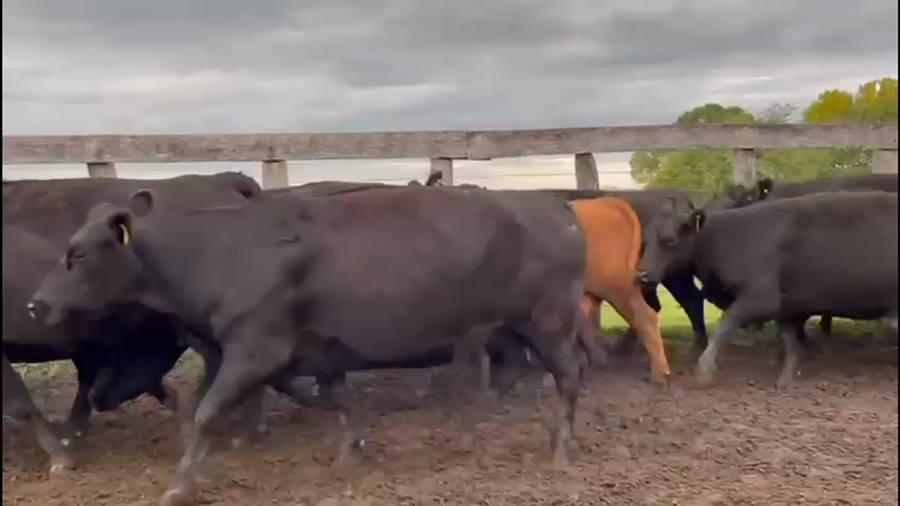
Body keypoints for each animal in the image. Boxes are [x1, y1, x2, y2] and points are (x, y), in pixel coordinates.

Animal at [29, 185, 592, 506]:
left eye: (77, 255)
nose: (37, 303)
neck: (217, 251)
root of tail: (555, 207)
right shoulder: (299, 349)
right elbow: (327, 396)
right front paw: (351, 446)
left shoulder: (255, 346)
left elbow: (209, 411)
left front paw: (179, 485)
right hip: (507, 328)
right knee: (513, 374)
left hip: (548, 320)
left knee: (567, 376)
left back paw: (561, 448)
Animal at [643, 191, 898, 387]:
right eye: (647, 240)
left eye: (670, 240)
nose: (642, 274)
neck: (729, 237)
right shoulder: (784, 304)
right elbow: (789, 338)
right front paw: (787, 376)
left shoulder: (760, 297)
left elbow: (725, 324)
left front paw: (704, 370)